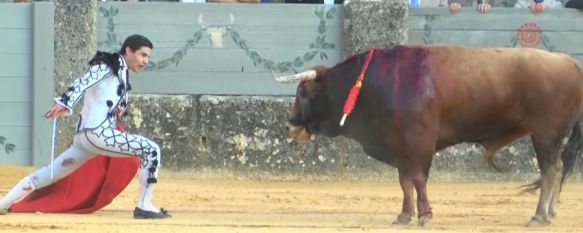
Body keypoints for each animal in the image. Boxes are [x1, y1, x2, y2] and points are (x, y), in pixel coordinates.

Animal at [276, 44, 583, 227]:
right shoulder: (399, 145)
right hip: (550, 138)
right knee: (556, 169)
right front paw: (404, 215)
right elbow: (404, 182)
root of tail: (569, 62)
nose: (288, 127)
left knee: (550, 171)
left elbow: (418, 179)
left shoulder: (419, 141)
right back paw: (549, 212)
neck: (376, 84)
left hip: (545, 135)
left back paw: (539, 216)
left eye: (303, 94)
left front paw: (425, 215)